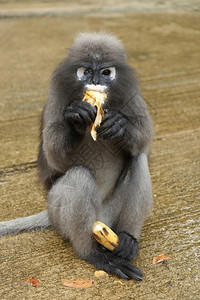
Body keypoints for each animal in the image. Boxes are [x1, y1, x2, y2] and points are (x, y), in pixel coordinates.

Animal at [0, 32, 153, 282]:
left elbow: (143, 142)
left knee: (138, 159)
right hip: (59, 212)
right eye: (86, 71)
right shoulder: (56, 99)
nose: (96, 82)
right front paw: (76, 116)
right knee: (79, 176)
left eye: (106, 72)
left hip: (111, 212)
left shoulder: (131, 97)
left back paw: (127, 240)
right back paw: (94, 255)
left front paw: (120, 124)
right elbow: (55, 159)